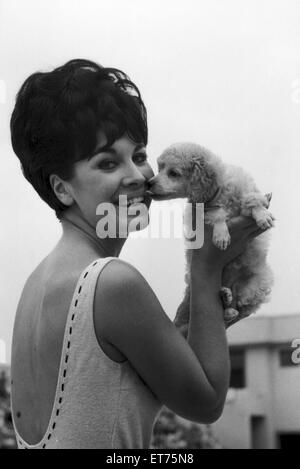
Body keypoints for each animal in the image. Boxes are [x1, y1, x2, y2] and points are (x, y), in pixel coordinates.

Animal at [148, 143, 274, 332]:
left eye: (173, 173)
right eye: (159, 169)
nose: (148, 183)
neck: (219, 191)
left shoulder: (245, 190)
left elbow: (252, 200)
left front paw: (262, 215)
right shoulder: (200, 214)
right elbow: (216, 213)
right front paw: (221, 235)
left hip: (258, 285)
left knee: (242, 306)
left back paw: (229, 301)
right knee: (230, 311)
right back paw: (227, 301)